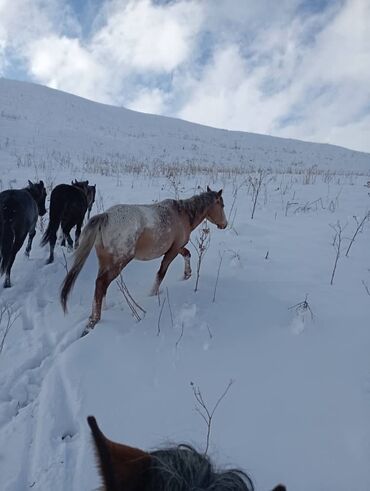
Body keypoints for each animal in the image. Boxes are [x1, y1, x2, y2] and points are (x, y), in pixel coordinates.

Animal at [60, 186, 227, 332]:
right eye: (222, 205)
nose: (225, 224)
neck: (183, 214)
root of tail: (105, 216)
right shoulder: (172, 251)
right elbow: (161, 273)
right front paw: (153, 294)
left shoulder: (176, 247)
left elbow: (187, 254)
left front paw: (187, 274)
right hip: (120, 261)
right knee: (102, 283)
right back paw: (95, 320)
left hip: (105, 260)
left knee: (101, 284)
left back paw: (102, 310)